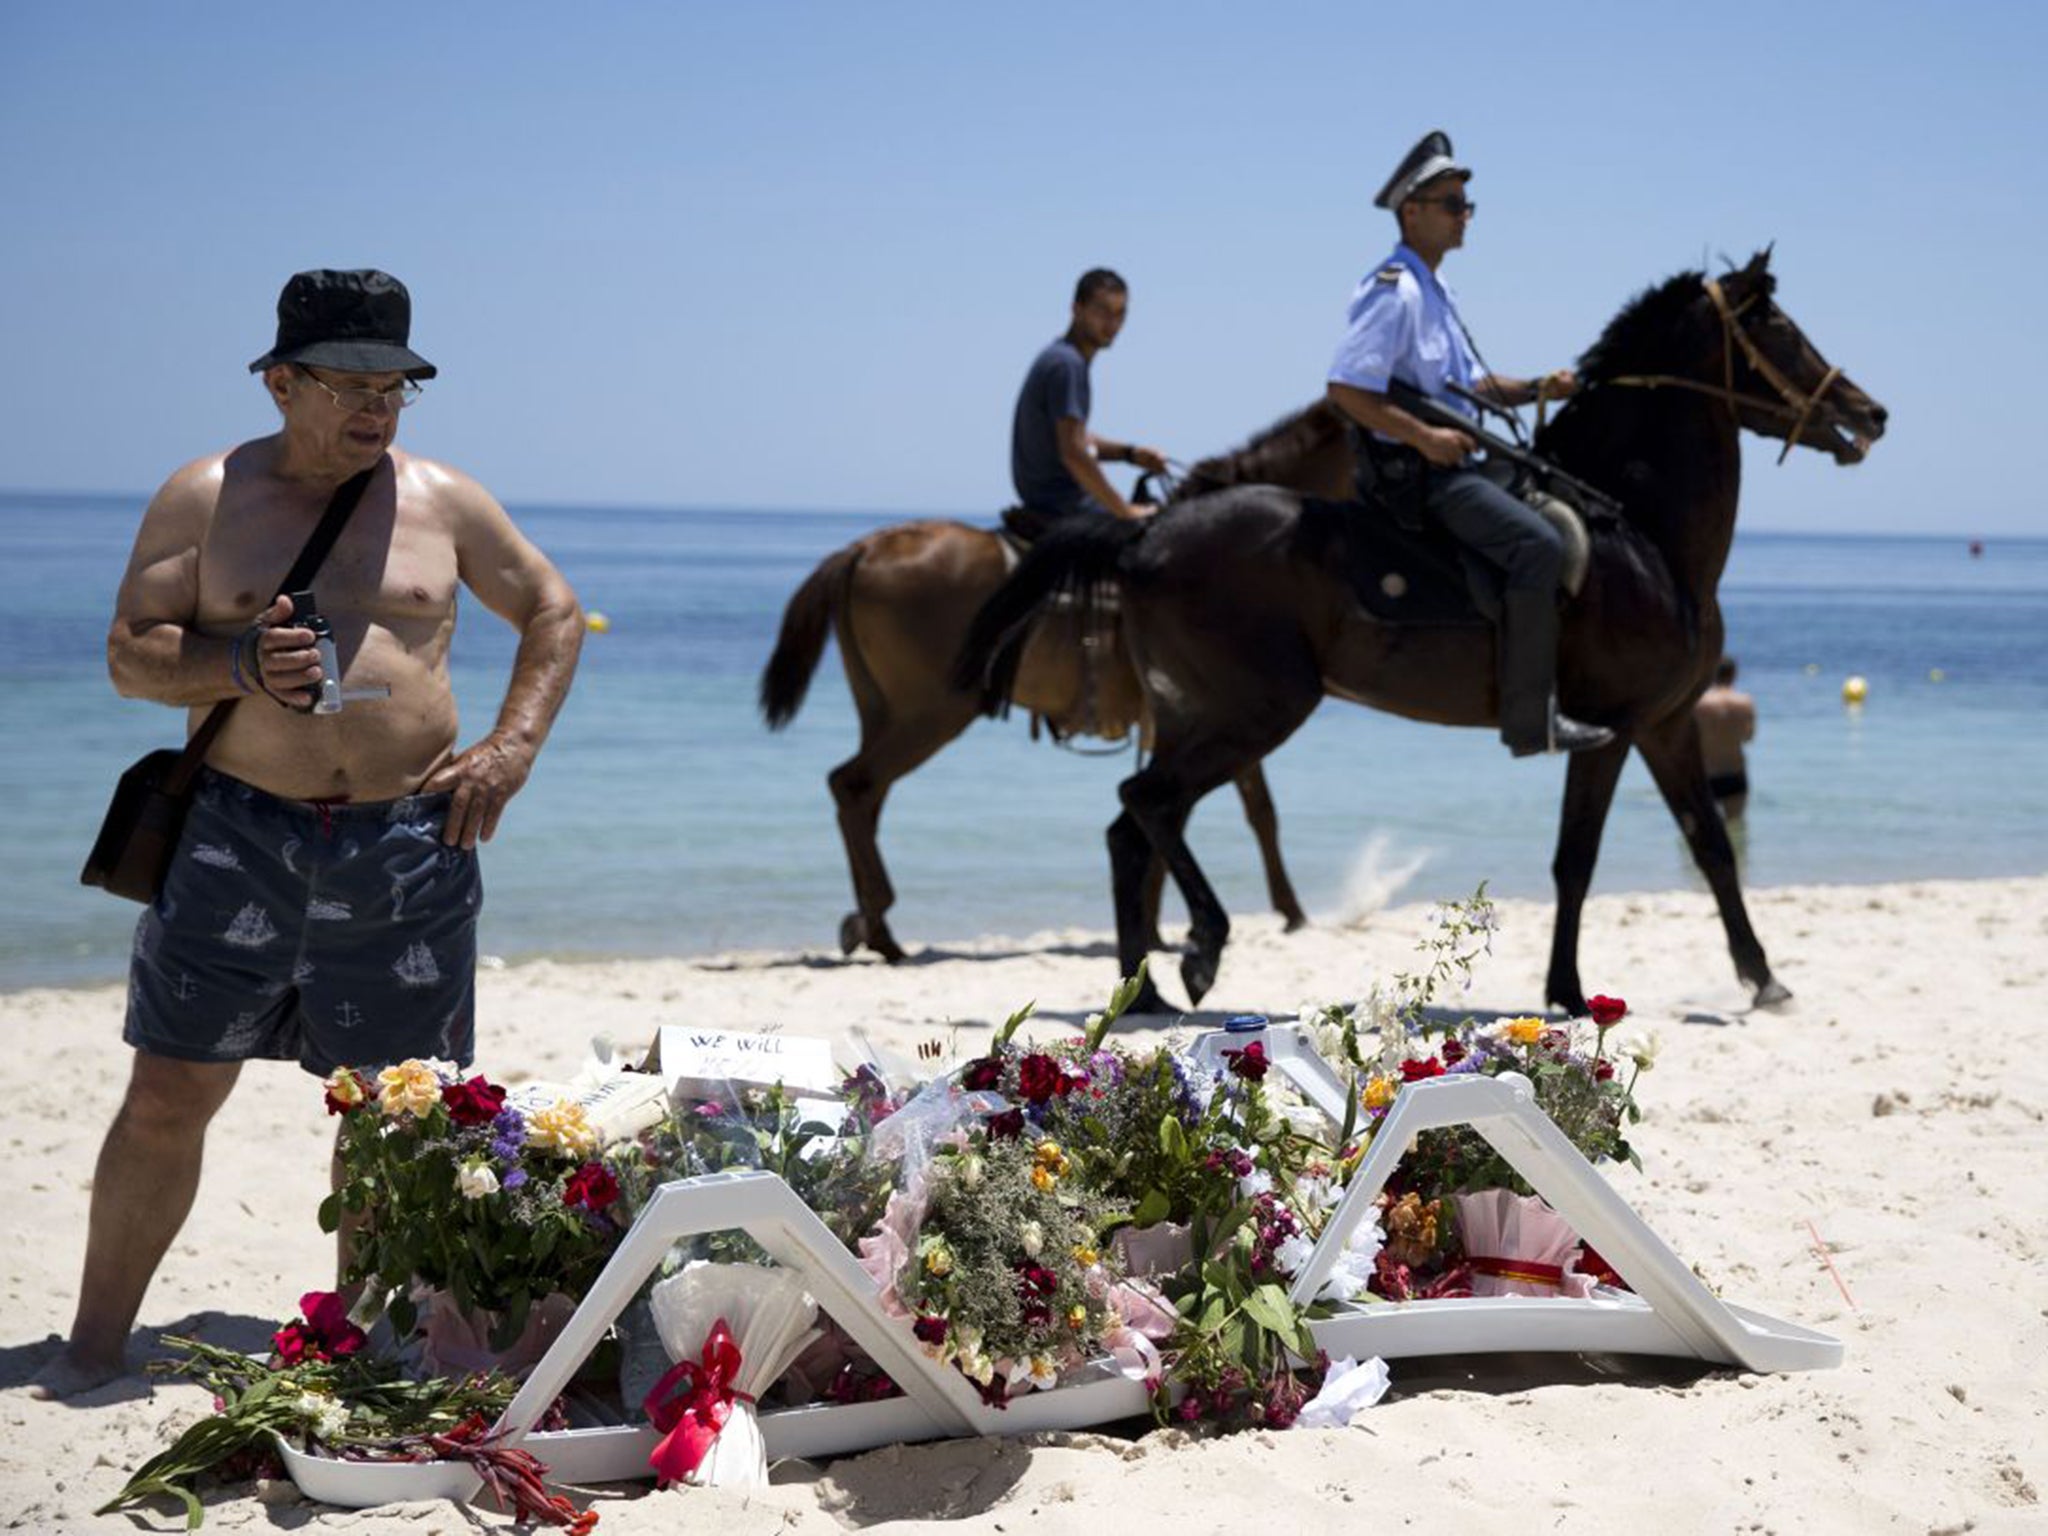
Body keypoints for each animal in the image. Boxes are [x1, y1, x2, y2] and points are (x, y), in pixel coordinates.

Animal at [757, 409, 1359, 962]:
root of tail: (865, 548)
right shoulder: (1217, 716)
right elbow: (1242, 811)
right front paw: (1281, 913)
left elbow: (1211, 811)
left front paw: (1157, 928)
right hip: (931, 714)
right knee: (855, 785)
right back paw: (880, 926)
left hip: (885, 712)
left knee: (862, 796)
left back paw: (870, 925)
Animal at [958, 250, 1884, 1015]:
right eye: (1778, 328)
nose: (1870, 411)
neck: (1639, 533)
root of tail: (1146, 532)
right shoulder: (1612, 730)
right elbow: (1577, 859)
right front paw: (1570, 991)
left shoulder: (1666, 723)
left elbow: (1712, 847)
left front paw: (1763, 978)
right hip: (1253, 712)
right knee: (1147, 805)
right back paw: (1200, 953)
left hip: (1196, 715)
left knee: (1134, 827)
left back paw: (1140, 993)